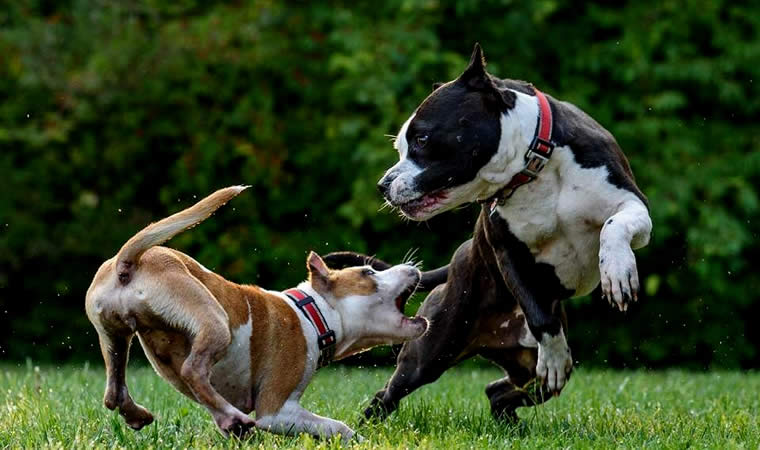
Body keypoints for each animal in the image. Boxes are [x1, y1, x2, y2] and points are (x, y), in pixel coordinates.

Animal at [84, 185, 428, 440]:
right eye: (369, 272)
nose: (413, 267)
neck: (313, 313)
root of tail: (127, 262)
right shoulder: (277, 410)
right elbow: (336, 427)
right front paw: (359, 440)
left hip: (115, 336)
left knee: (114, 391)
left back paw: (145, 415)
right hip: (213, 319)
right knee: (193, 369)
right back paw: (232, 417)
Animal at [324, 43, 652, 422]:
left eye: (422, 138)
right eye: (400, 148)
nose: (383, 184)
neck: (534, 166)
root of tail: (457, 259)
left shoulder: (633, 204)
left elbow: (614, 227)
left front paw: (618, 272)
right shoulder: (507, 252)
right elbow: (540, 316)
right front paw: (555, 355)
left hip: (525, 371)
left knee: (500, 391)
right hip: (431, 350)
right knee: (390, 392)